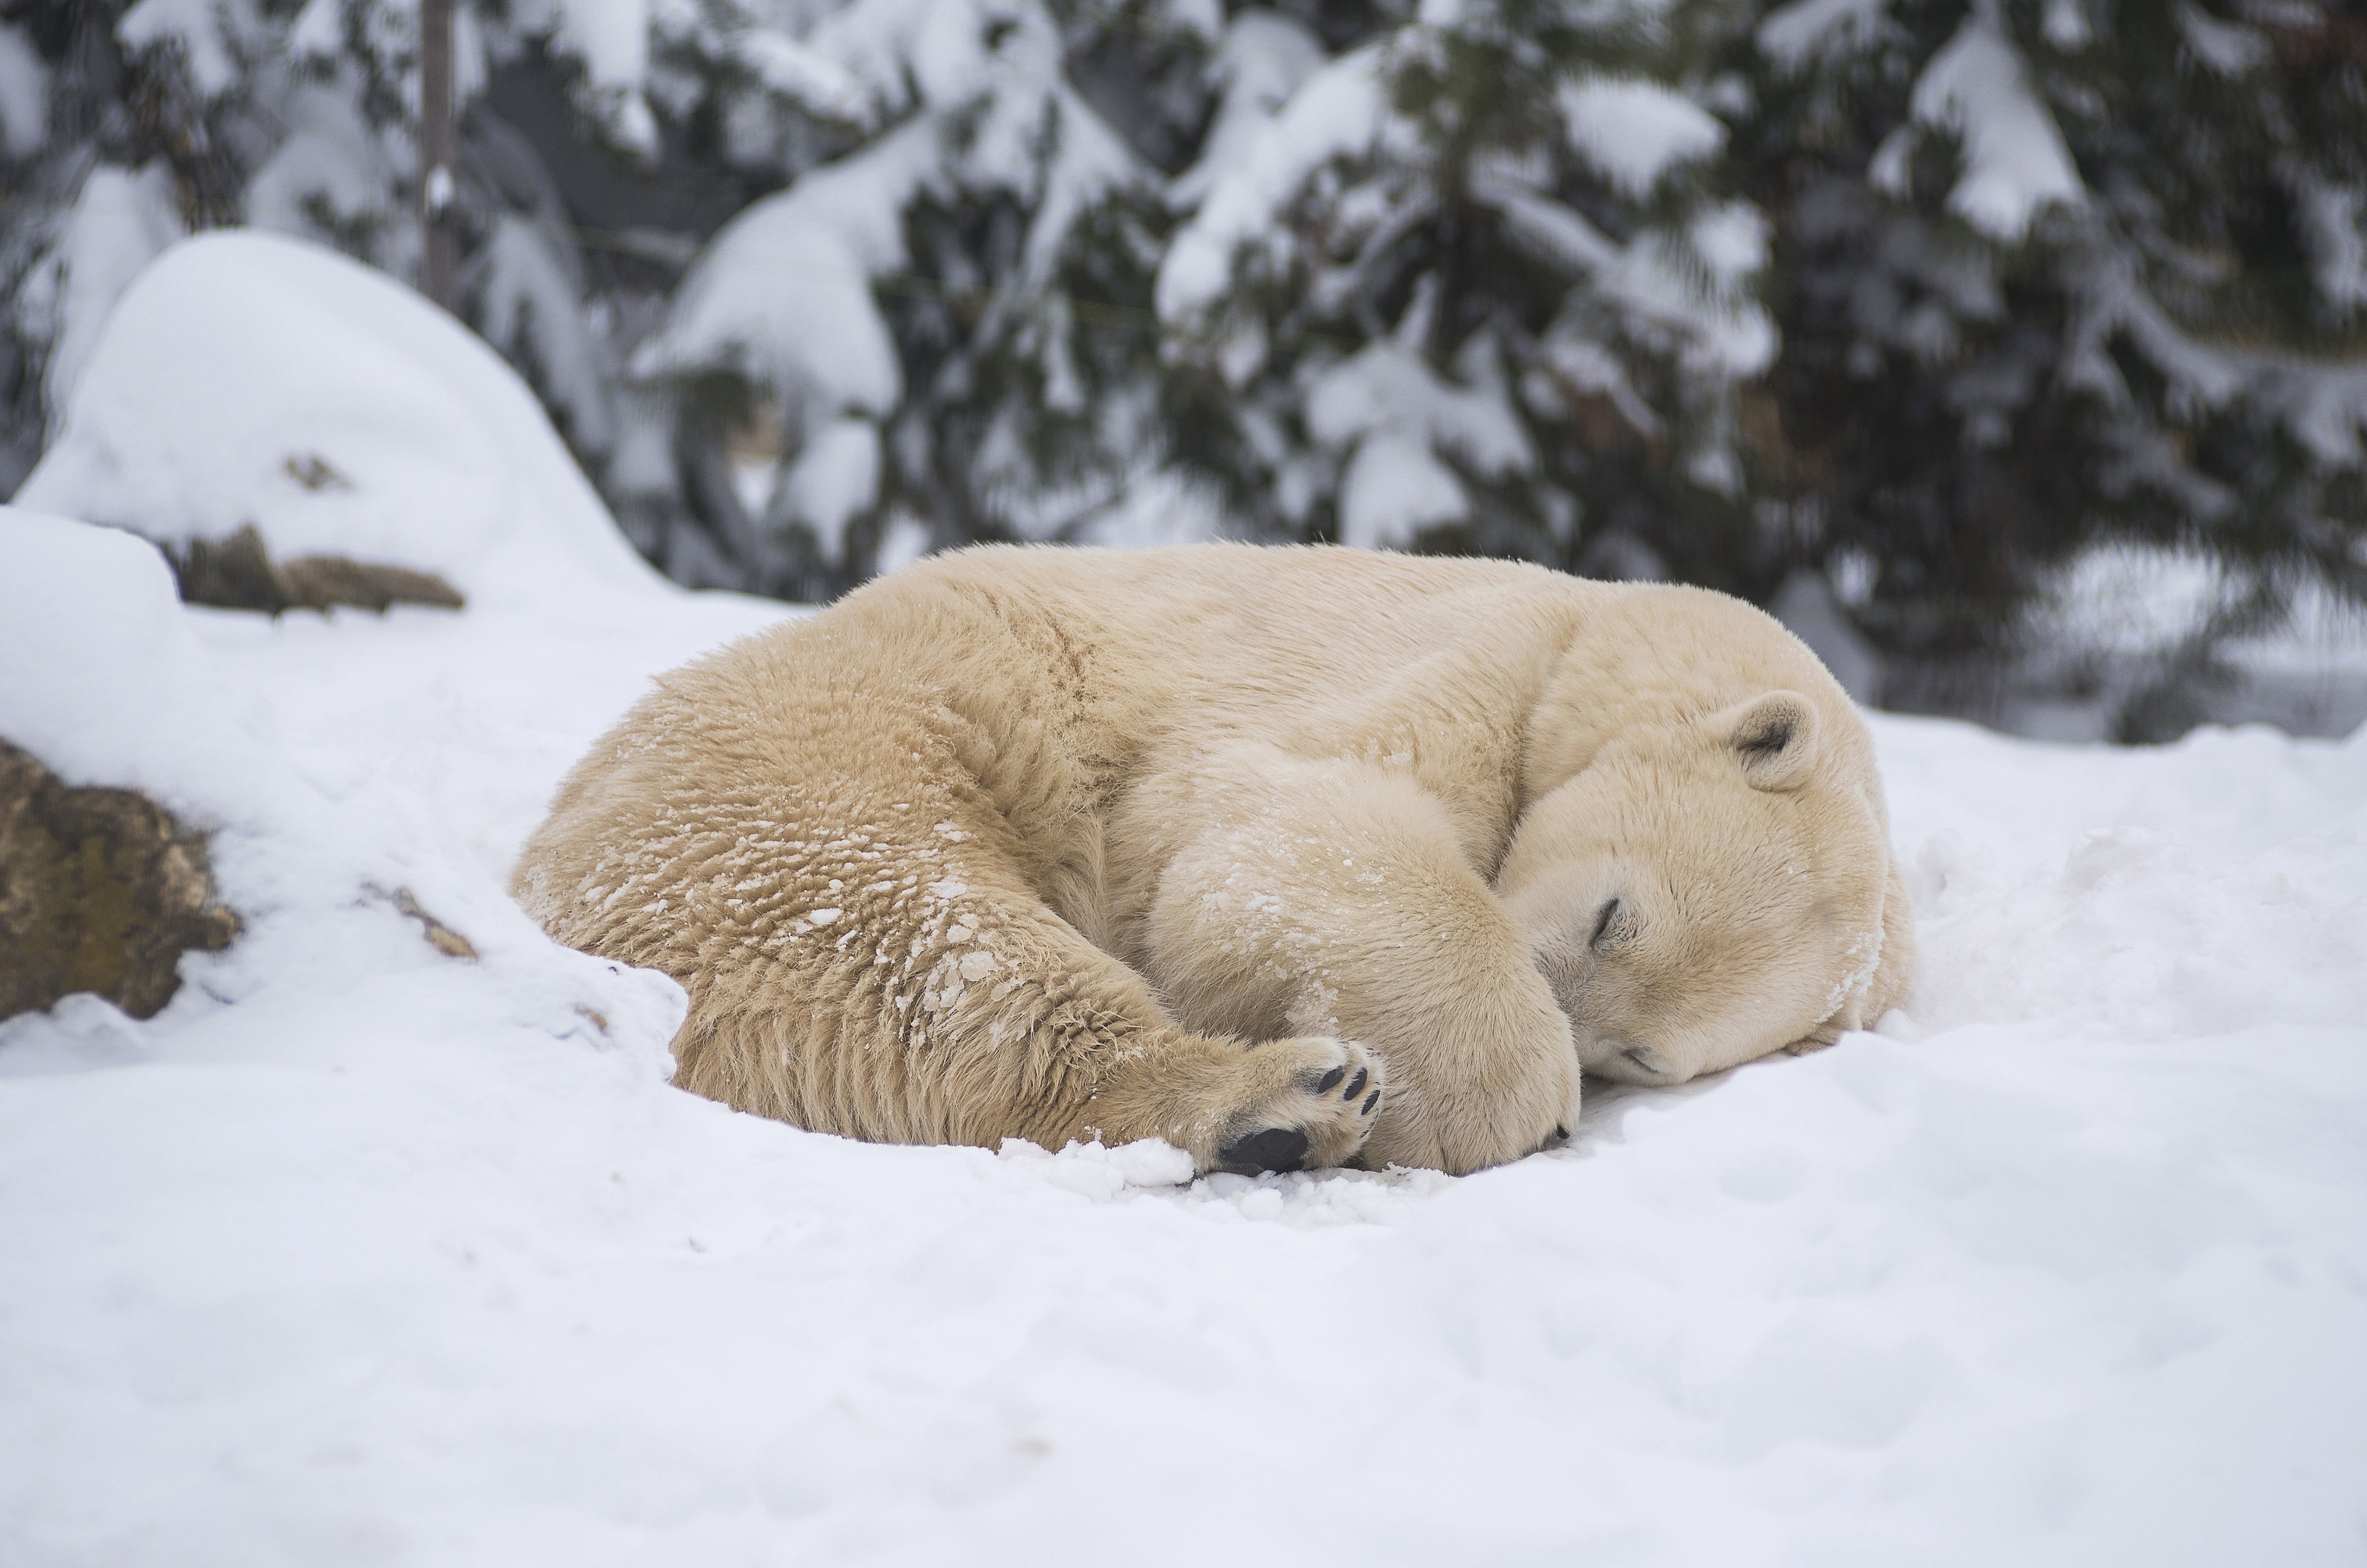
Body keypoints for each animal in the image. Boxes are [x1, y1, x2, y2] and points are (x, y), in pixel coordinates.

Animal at [509, 546, 1912, 1173]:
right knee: (929, 949)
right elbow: (1276, 837)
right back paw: (1282, 1098)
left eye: (1643, 1058)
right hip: (835, 756)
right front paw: (1498, 1095)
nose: (1575, 1029)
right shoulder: (1463, 665)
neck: (1599, 633)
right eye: (1612, 912)